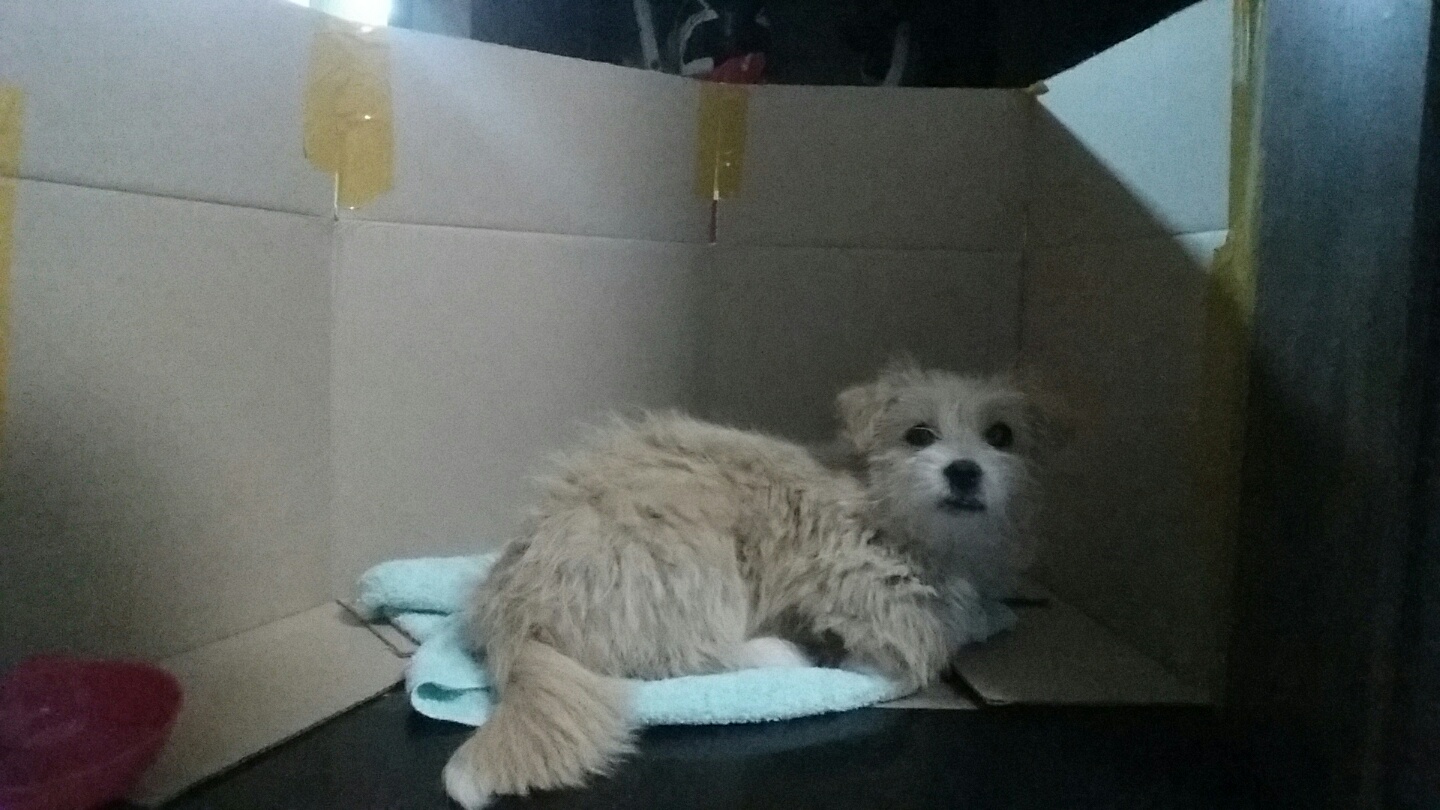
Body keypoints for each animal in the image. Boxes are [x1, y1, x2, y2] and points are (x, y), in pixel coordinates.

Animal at [442, 362, 1066, 808]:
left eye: (1002, 435)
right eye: (919, 434)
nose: (964, 471)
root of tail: (519, 620)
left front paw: (991, 609)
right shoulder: (855, 584)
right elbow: (909, 634)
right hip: (691, 559)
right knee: (682, 658)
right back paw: (781, 654)